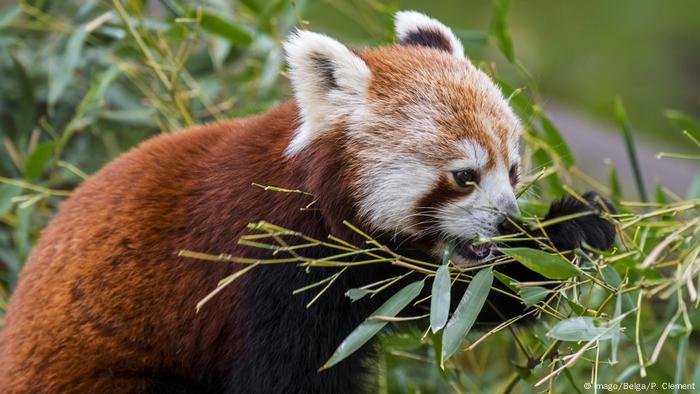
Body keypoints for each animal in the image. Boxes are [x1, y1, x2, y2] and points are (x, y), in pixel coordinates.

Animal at [0, 10, 612, 392]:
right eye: (465, 176)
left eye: (513, 169)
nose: (508, 220)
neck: (317, 199)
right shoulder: (273, 271)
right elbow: (285, 377)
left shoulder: (380, 276)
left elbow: (464, 298)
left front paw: (570, 231)